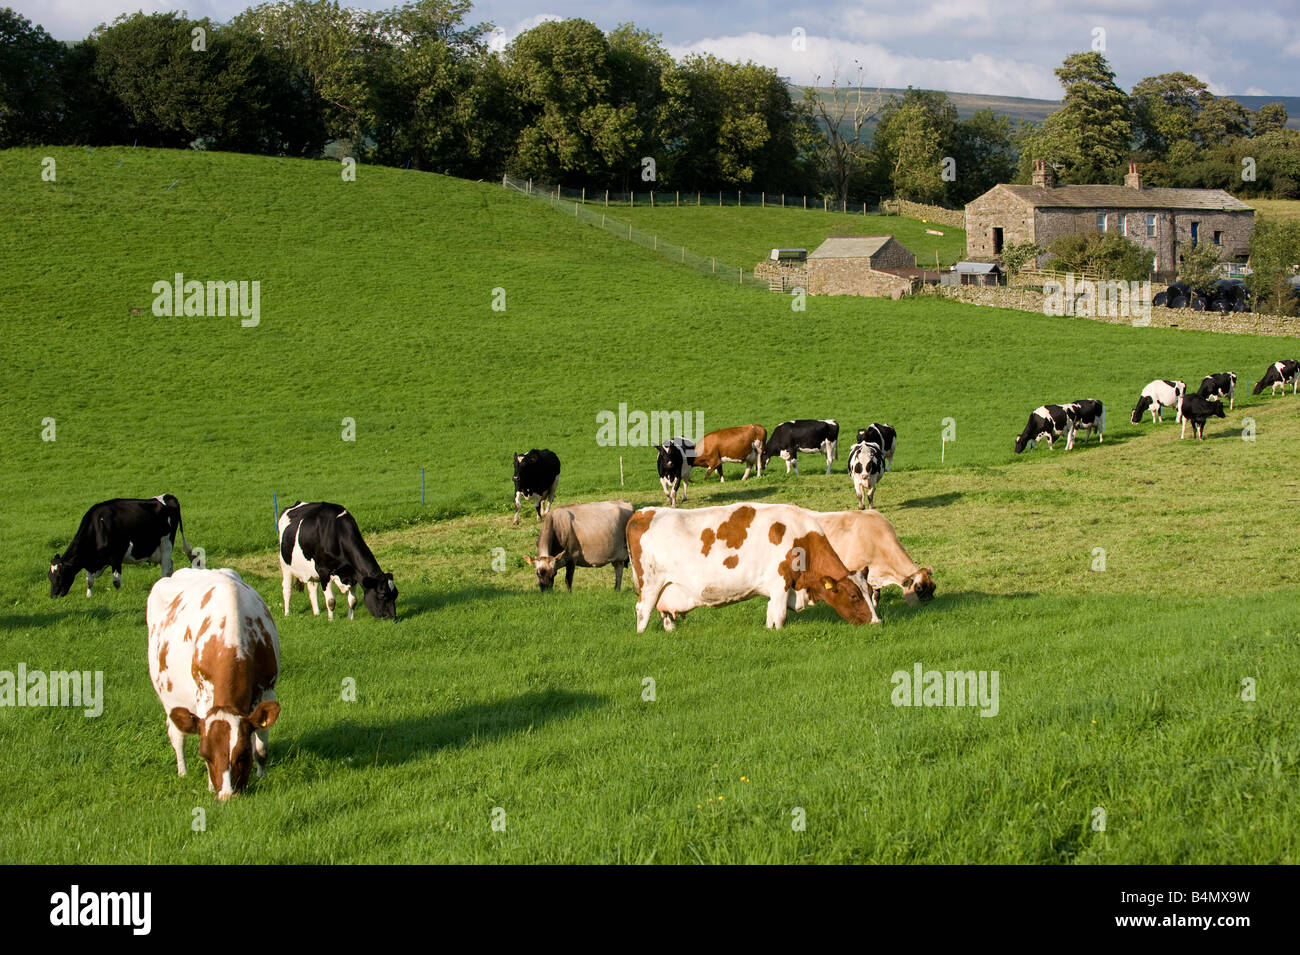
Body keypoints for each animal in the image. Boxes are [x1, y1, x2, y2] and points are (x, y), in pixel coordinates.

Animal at [49, 493, 195, 597]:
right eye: (50, 576)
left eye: (59, 576)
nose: (53, 595)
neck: (98, 526)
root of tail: (168, 497)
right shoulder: (90, 561)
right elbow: (89, 582)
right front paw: (89, 597)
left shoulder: (116, 556)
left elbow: (116, 582)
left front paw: (118, 596)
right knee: (170, 565)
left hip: (166, 544)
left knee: (165, 567)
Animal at [146, 566, 279, 800]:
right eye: (205, 755)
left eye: (243, 753)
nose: (227, 796)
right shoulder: (204, 694)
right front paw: (209, 785)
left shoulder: (267, 688)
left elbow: (262, 746)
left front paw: (262, 775)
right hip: (169, 700)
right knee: (177, 735)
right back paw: (182, 772)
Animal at [624, 504, 878, 631]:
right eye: (854, 595)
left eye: (870, 592)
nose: (877, 622)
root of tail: (644, 511)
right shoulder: (780, 582)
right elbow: (780, 617)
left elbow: (770, 615)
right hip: (650, 585)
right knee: (642, 611)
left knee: (665, 615)